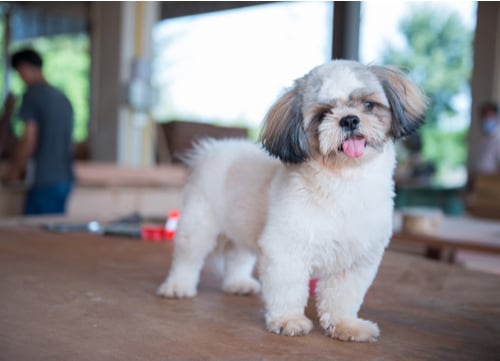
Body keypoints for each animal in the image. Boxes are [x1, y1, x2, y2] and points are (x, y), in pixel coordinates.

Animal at [157, 58, 426, 340]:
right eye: (322, 114)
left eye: (368, 105)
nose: (350, 120)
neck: (343, 183)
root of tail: (212, 149)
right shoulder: (286, 249)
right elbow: (287, 289)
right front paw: (288, 320)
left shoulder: (356, 260)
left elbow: (342, 298)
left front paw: (345, 326)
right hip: (197, 226)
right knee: (187, 259)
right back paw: (177, 286)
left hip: (242, 229)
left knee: (237, 256)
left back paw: (237, 283)